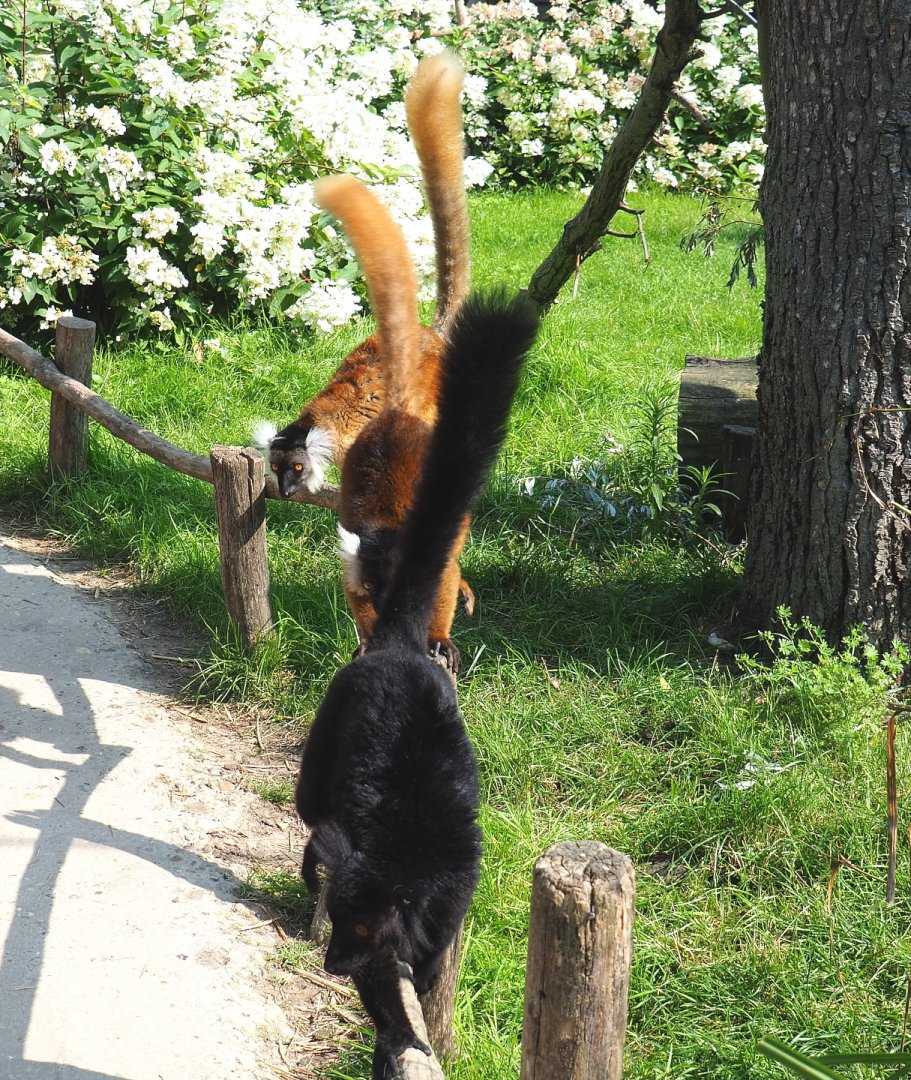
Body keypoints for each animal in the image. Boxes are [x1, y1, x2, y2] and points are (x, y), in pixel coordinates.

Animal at [295, 289, 540, 1078]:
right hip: (333, 720)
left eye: (359, 932)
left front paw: (421, 990)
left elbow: (430, 954)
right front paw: (401, 1031)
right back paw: (309, 861)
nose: (332, 964)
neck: (408, 865)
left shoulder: (454, 889)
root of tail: (399, 644)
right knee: (312, 808)